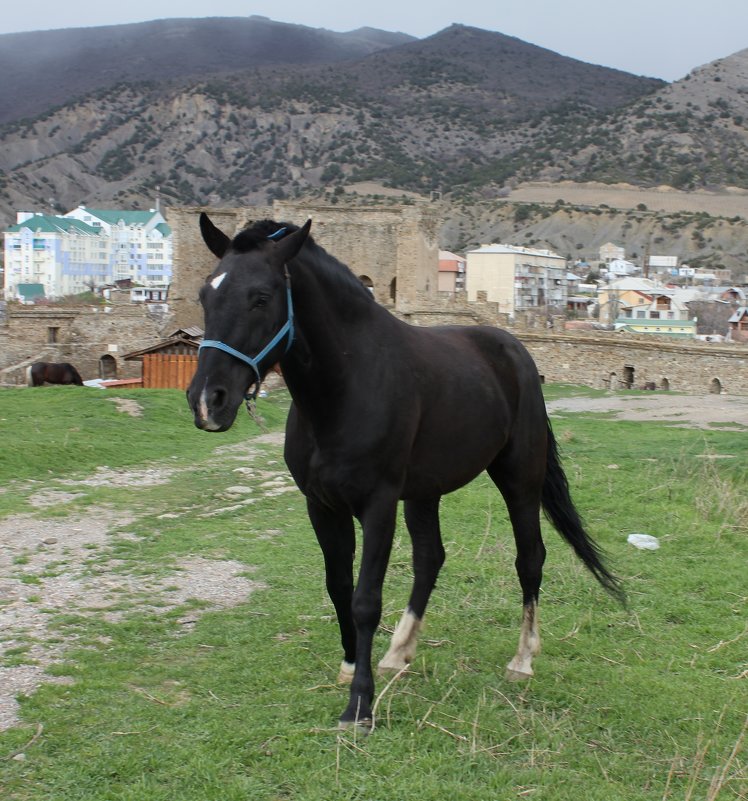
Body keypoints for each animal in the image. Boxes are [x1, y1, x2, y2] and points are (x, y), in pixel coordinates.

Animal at [187, 216, 624, 728]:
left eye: (260, 296)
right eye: (205, 294)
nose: (207, 400)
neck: (346, 386)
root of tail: (513, 350)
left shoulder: (378, 506)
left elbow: (365, 600)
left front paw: (359, 704)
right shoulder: (322, 506)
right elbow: (338, 586)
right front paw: (351, 664)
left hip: (519, 480)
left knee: (529, 558)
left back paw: (522, 659)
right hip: (424, 493)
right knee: (430, 559)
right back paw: (399, 652)